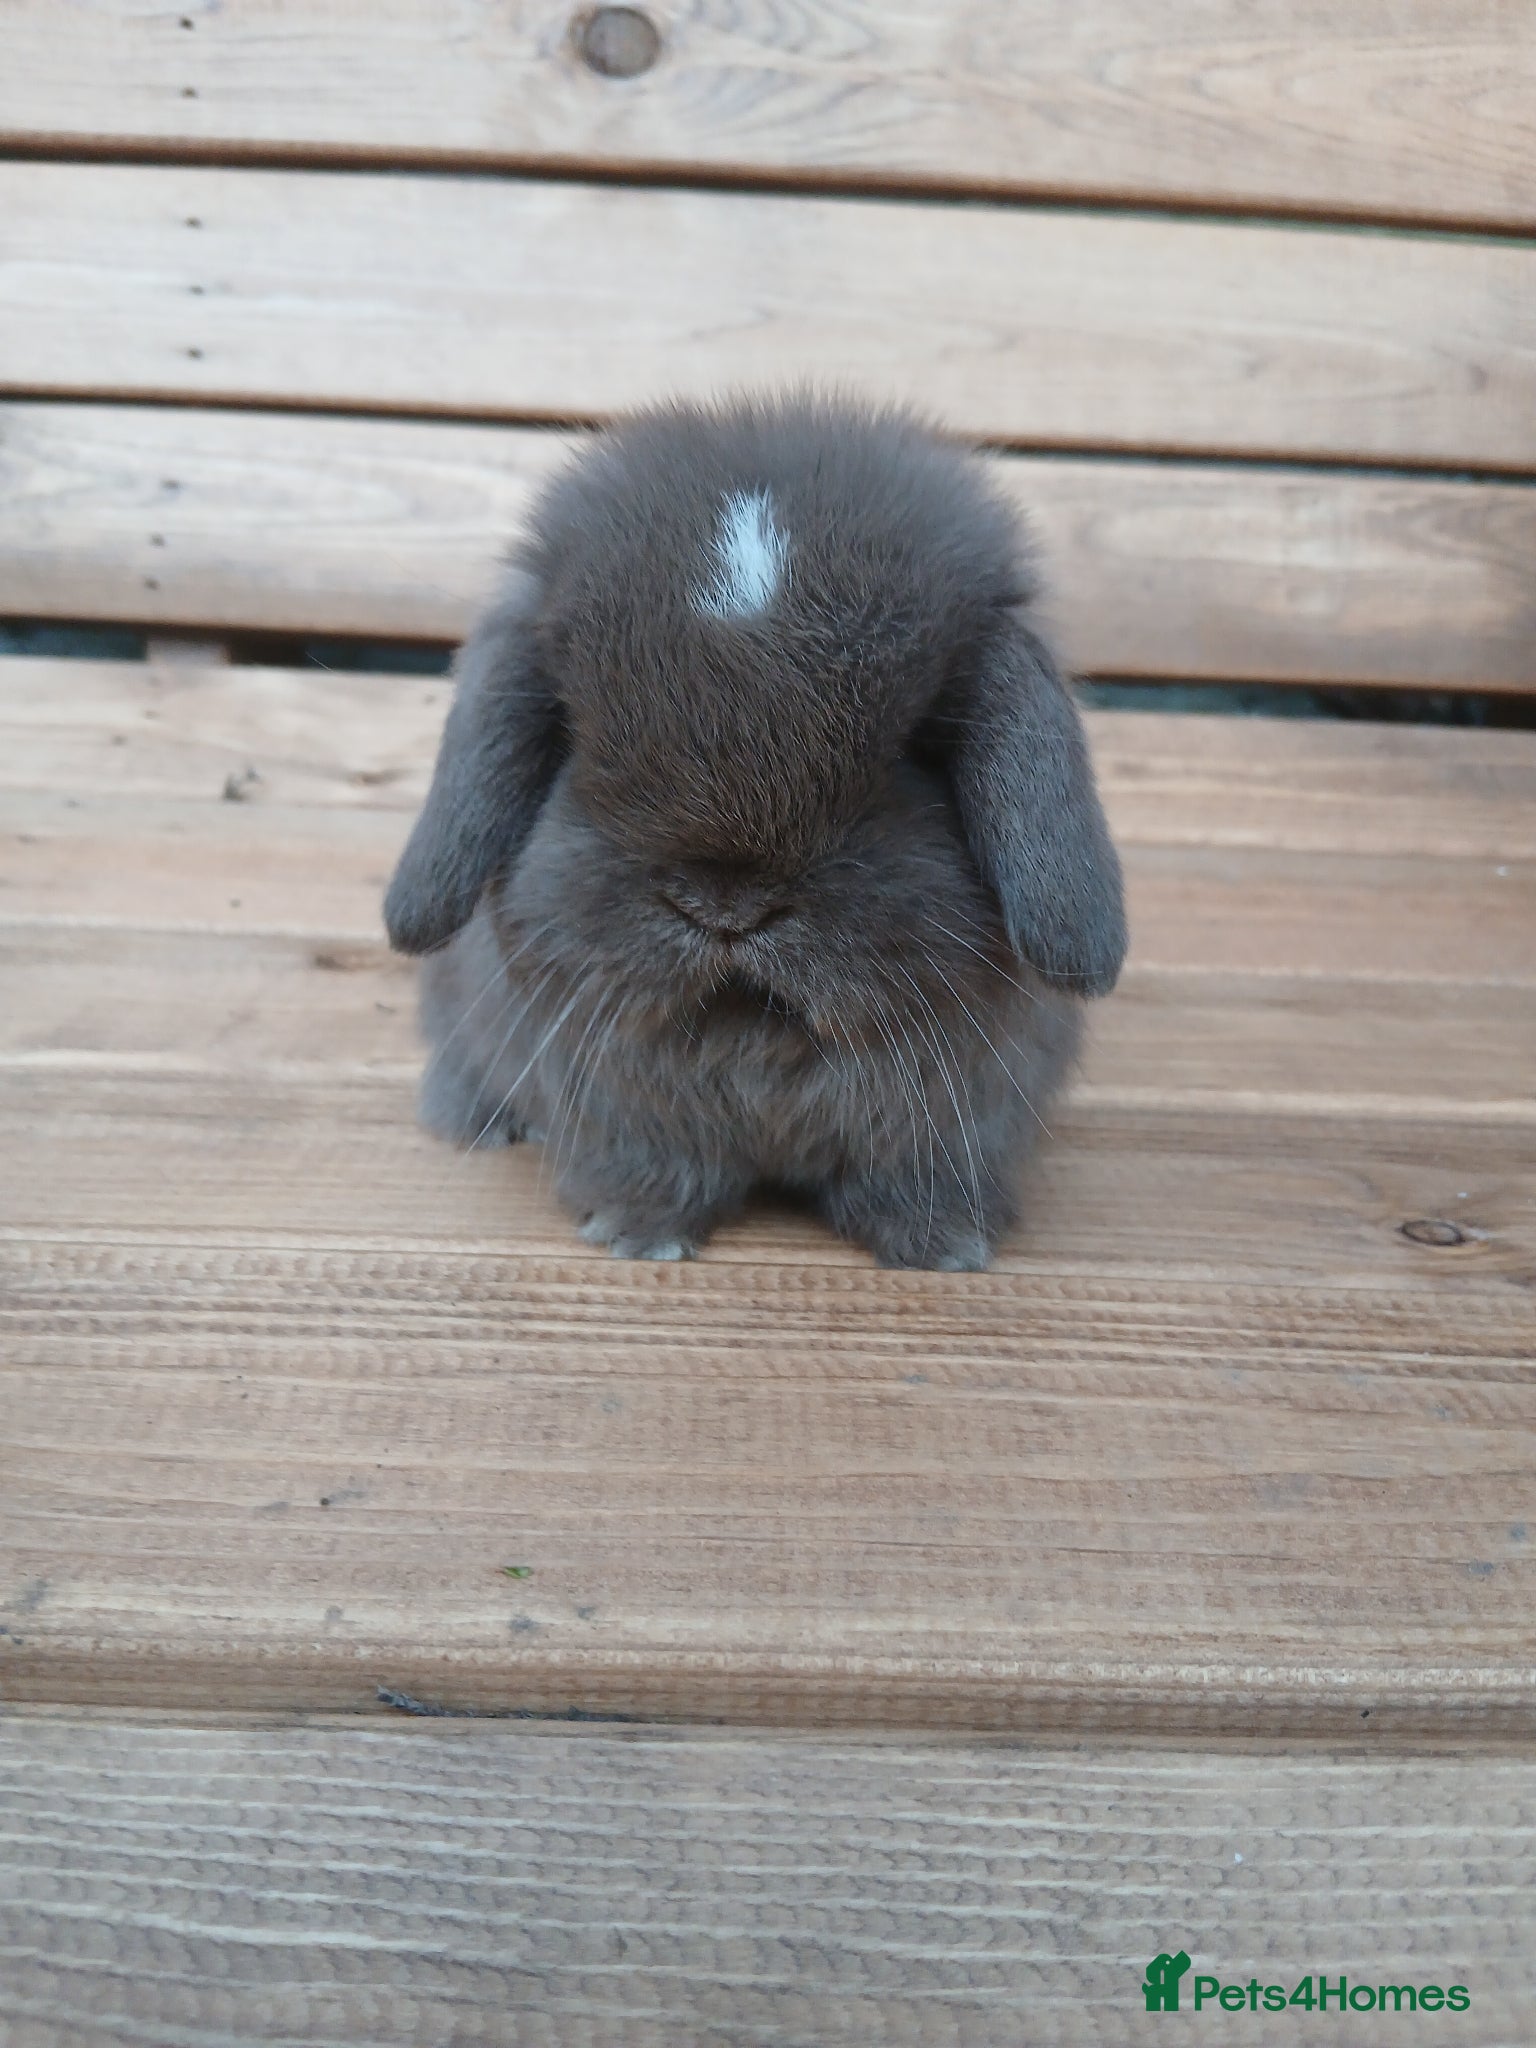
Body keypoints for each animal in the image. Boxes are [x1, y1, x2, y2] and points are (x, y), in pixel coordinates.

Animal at [384, 391, 1126, 1270]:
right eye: (575, 732)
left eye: (917, 748)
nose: (725, 905)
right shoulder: (620, 1106)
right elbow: (651, 1164)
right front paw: (637, 1234)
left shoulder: (955, 1122)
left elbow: (916, 1176)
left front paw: (944, 1245)